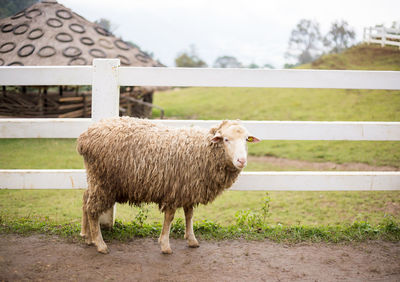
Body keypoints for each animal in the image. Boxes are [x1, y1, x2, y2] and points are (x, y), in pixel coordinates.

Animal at [77, 117, 260, 253]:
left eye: (246, 140)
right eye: (226, 139)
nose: (241, 160)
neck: (203, 150)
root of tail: (84, 137)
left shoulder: (188, 188)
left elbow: (189, 215)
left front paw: (191, 239)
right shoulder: (173, 190)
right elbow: (170, 217)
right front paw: (165, 244)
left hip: (95, 179)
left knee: (85, 199)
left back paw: (87, 236)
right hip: (102, 181)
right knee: (92, 209)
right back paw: (100, 244)